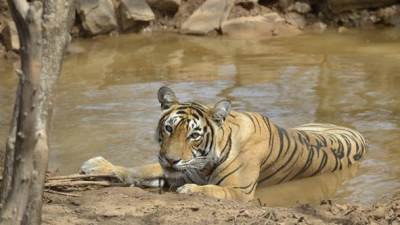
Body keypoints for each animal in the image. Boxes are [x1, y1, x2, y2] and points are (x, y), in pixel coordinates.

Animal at [79, 85, 368, 200]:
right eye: (169, 128)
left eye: (194, 135)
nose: (171, 159)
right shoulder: (173, 171)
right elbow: (138, 169)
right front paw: (96, 165)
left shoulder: (240, 192)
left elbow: (212, 190)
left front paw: (191, 190)